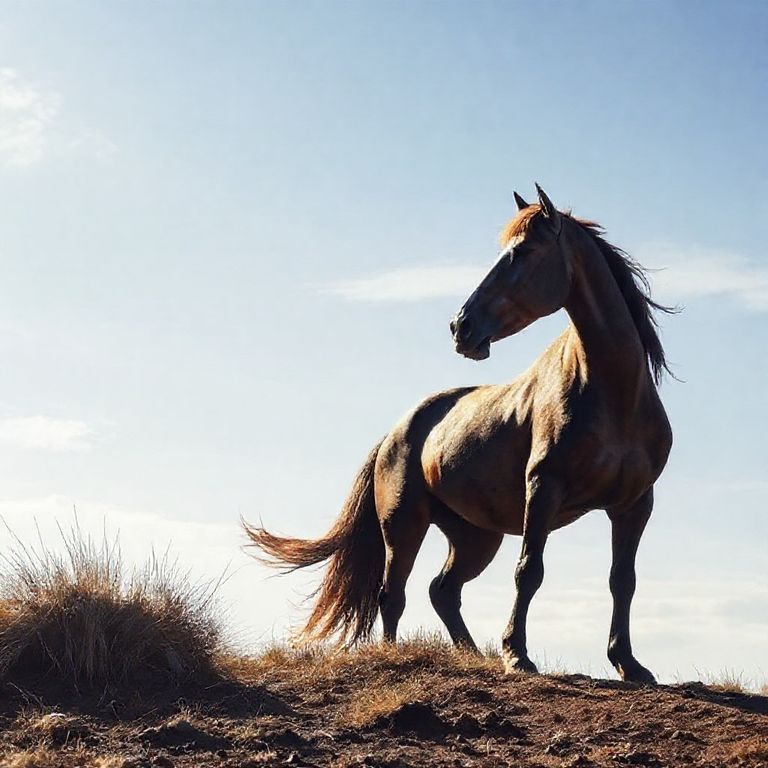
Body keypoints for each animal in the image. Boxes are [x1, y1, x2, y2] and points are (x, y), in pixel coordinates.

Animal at [244, 185, 673, 684]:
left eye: (524, 252)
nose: (460, 327)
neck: (614, 394)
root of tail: (394, 433)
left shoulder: (634, 504)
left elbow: (622, 580)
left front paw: (629, 663)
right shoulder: (543, 489)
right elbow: (529, 570)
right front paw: (517, 655)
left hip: (474, 538)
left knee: (442, 590)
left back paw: (472, 655)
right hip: (404, 526)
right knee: (394, 592)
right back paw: (397, 653)